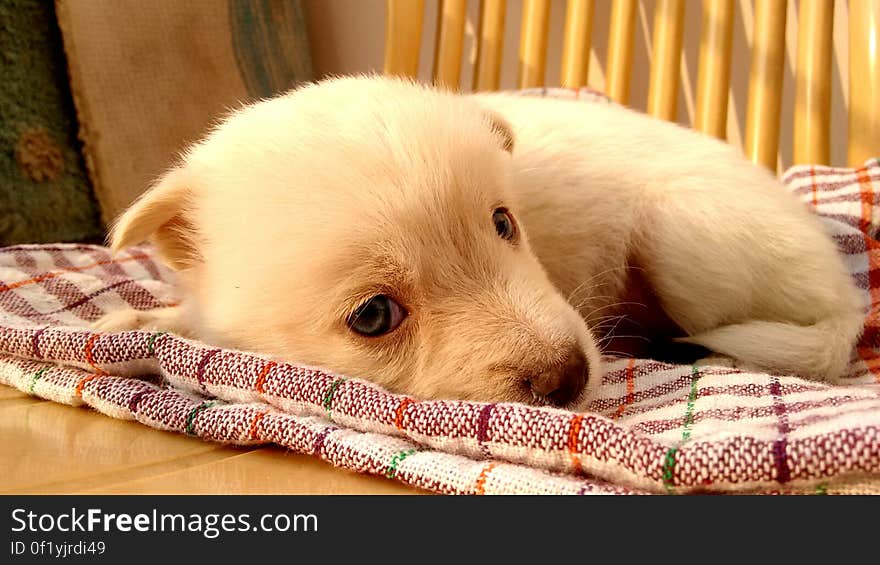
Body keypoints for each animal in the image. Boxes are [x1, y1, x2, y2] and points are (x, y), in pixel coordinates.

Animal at [96, 76, 860, 410]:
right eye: (373, 315)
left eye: (502, 223)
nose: (568, 377)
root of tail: (847, 294)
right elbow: (185, 317)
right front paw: (132, 319)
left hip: (683, 237)